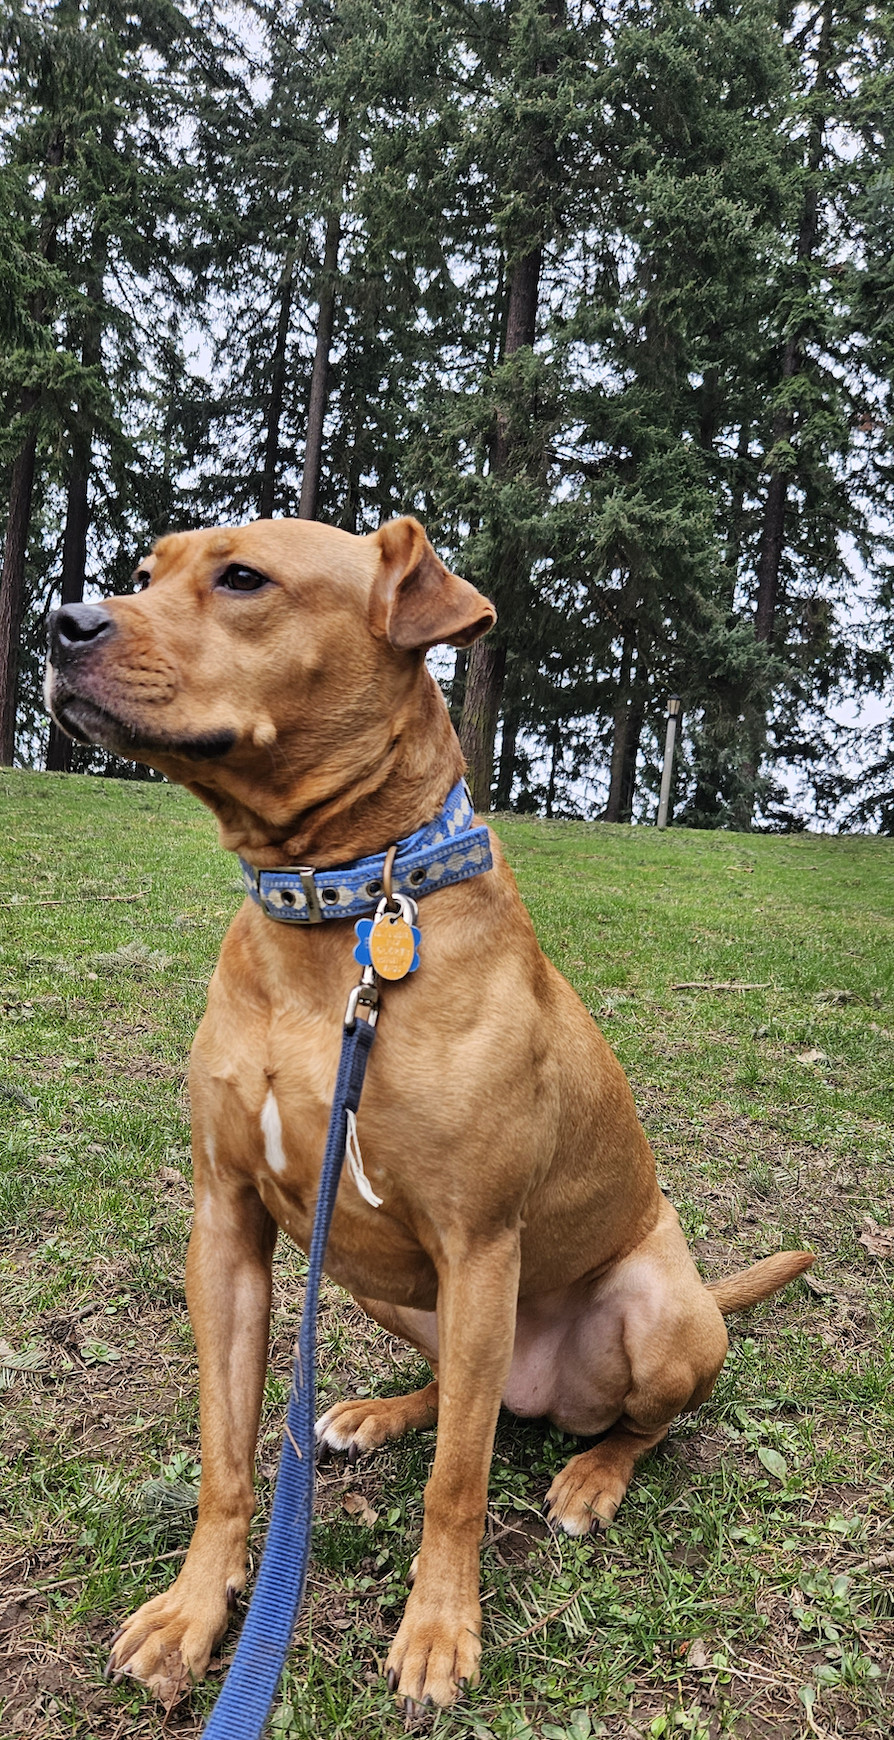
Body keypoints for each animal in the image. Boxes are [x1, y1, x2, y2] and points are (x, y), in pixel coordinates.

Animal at [46, 515, 813, 1712]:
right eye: (144, 569)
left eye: (244, 578)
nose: (59, 620)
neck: (338, 906)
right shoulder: (226, 1224)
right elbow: (226, 1457)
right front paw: (193, 1610)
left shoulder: (479, 1241)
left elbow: (458, 1485)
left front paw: (441, 1632)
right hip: (384, 1287)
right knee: (464, 1390)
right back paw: (377, 1414)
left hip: (656, 1312)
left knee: (624, 1423)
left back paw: (593, 1476)